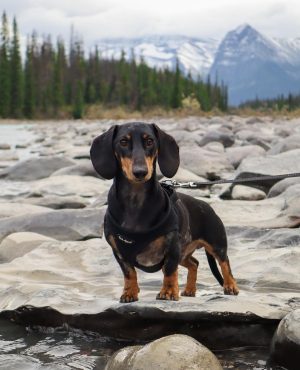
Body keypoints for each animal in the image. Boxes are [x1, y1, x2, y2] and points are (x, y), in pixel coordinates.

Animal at [89, 123, 239, 302]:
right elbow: (129, 273)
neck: (135, 201)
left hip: (216, 244)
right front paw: (129, 293)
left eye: (149, 141)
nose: (140, 172)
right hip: (184, 253)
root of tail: (206, 206)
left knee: (225, 262)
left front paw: (168, 292)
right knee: (194, 263)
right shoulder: (119, 253)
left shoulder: (173, 247)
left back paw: (231, 286)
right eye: (123, 142)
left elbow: (169, 270)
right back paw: (189, 290)